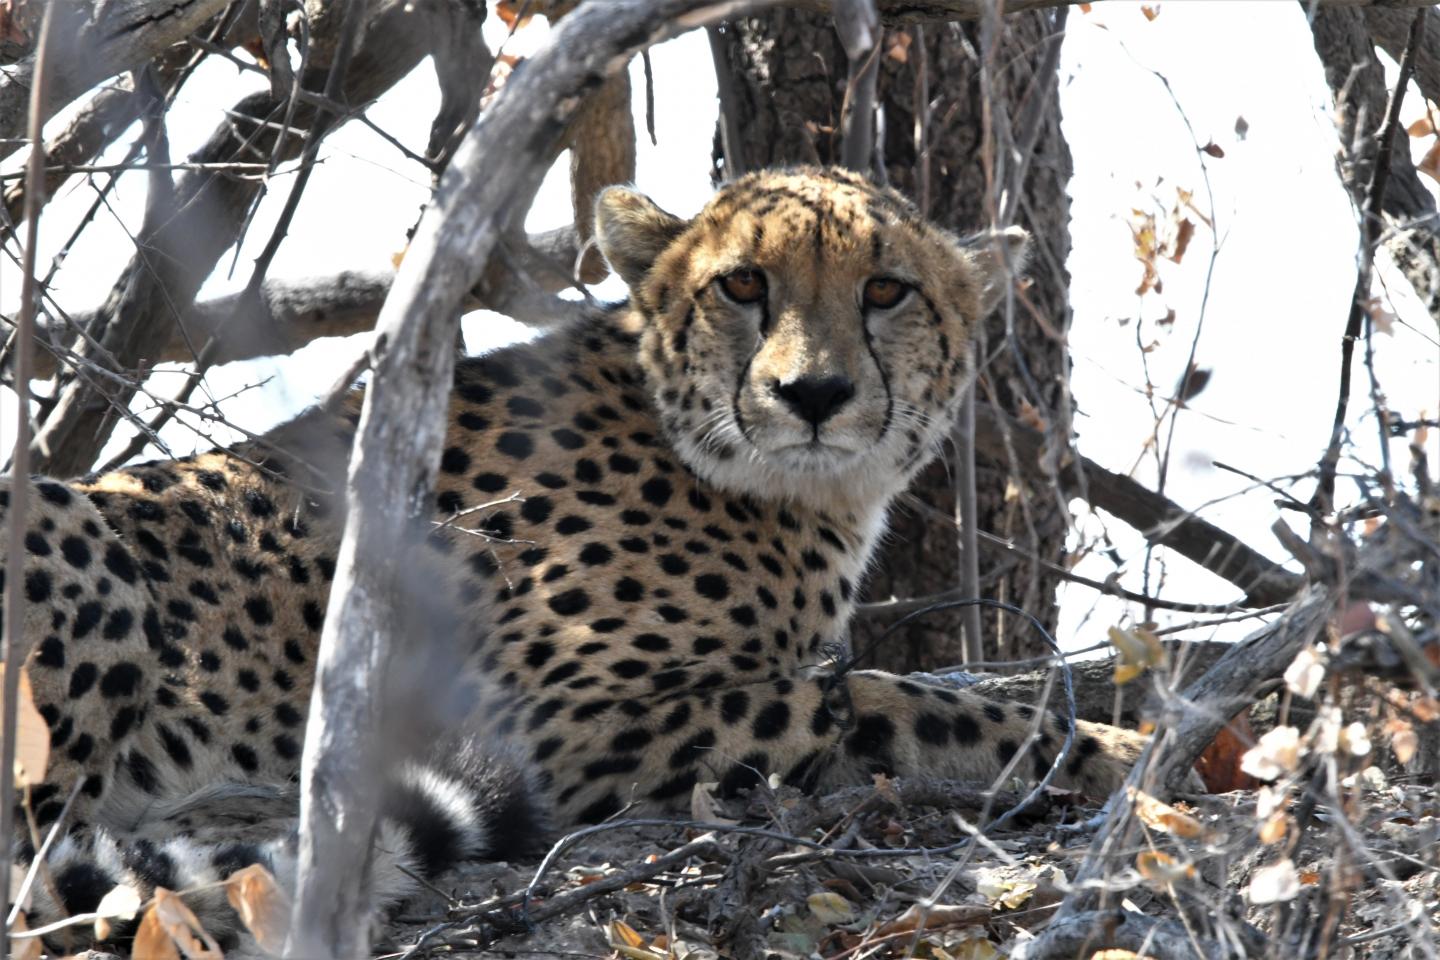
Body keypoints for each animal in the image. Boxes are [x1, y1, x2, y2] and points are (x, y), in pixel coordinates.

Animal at [0, 166, 1146, 955]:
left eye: (886, 291)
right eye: (742, 284)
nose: (812, 394)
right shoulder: (557, 729)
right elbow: (886, 698)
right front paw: (1110, 753)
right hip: (74, 534)